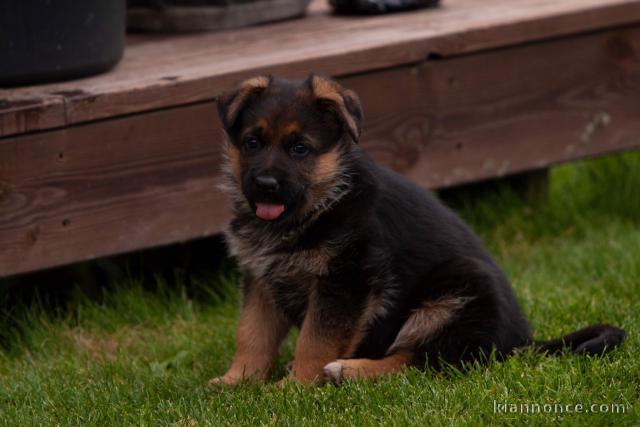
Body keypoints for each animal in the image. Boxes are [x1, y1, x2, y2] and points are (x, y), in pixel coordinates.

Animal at [211, 75, 624, 386]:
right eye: (252, 142)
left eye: (300, 148)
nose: (264, 185)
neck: (317, 205)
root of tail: (521, 342)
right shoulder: (261, 278)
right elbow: (252, 333)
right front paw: (237, 380)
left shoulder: (346, 280)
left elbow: (316, 340)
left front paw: (294, 385)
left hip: (459, 291)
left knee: (422, 362)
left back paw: (347, 371)